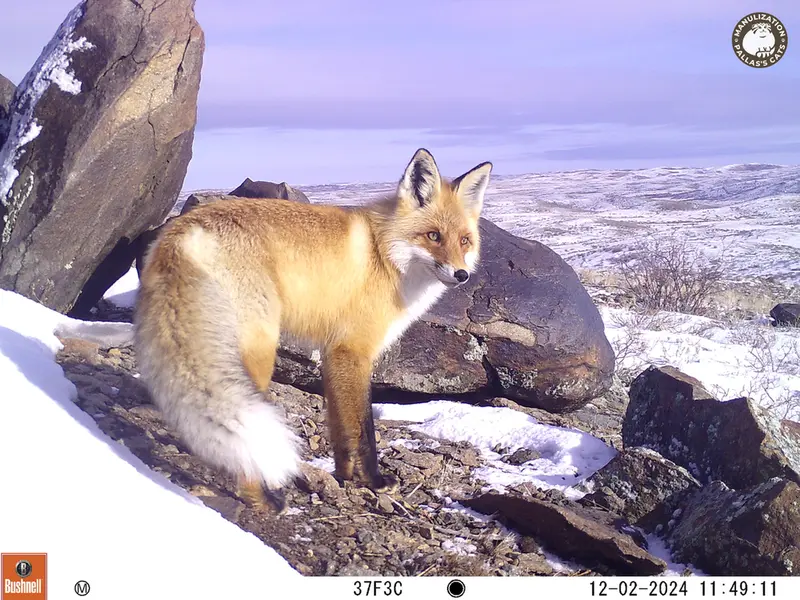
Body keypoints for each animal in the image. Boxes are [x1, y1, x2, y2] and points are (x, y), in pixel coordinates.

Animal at [133, 148, 492, 511]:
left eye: (464, 241)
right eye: (433, 236)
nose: (461, 275)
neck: (385, 255)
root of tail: (186, 228)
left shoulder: (332, 353)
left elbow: (340, 428)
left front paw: (346, 477)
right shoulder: (352, 350)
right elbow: (363, 428)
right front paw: (374, 481)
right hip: (260, 351)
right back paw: (262, 499)